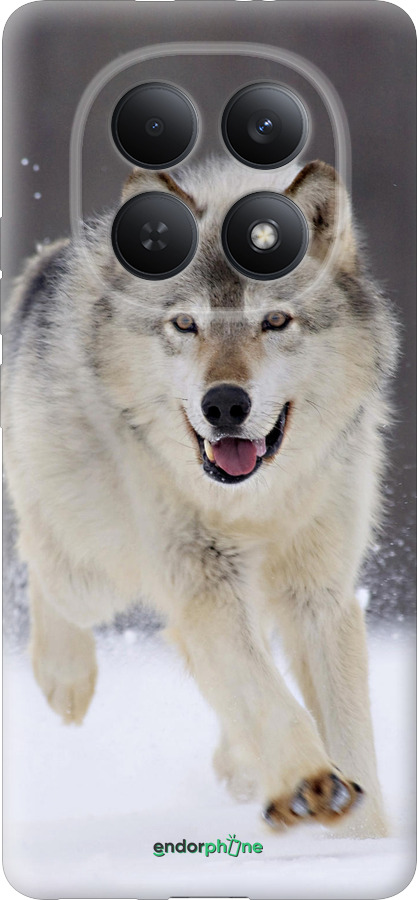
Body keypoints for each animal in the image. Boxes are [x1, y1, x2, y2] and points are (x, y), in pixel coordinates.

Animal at [3, 158, 398, 837]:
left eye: (275, 321)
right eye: (186, 324)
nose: (225, 405)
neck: (256, 503)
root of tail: (46, 262)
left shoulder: (319, 594)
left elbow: (347, 733)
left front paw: (361, 836)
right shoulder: (203, 581)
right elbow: (266, 695)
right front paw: (309, 783)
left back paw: (239, 766)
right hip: (95, 573)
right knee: (42, 561)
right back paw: (65, 679)